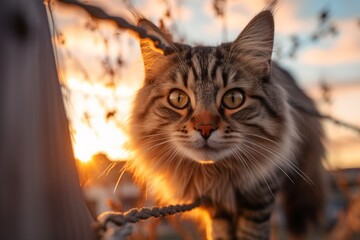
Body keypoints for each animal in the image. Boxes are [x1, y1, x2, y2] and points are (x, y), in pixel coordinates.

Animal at [128, 9, 328, 240]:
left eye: (233, 99)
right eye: (178, 99)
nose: (205, 128)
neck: (218, 178)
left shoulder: (262, 193)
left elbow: (252, 230)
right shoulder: (215, 206)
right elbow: (220, 231)